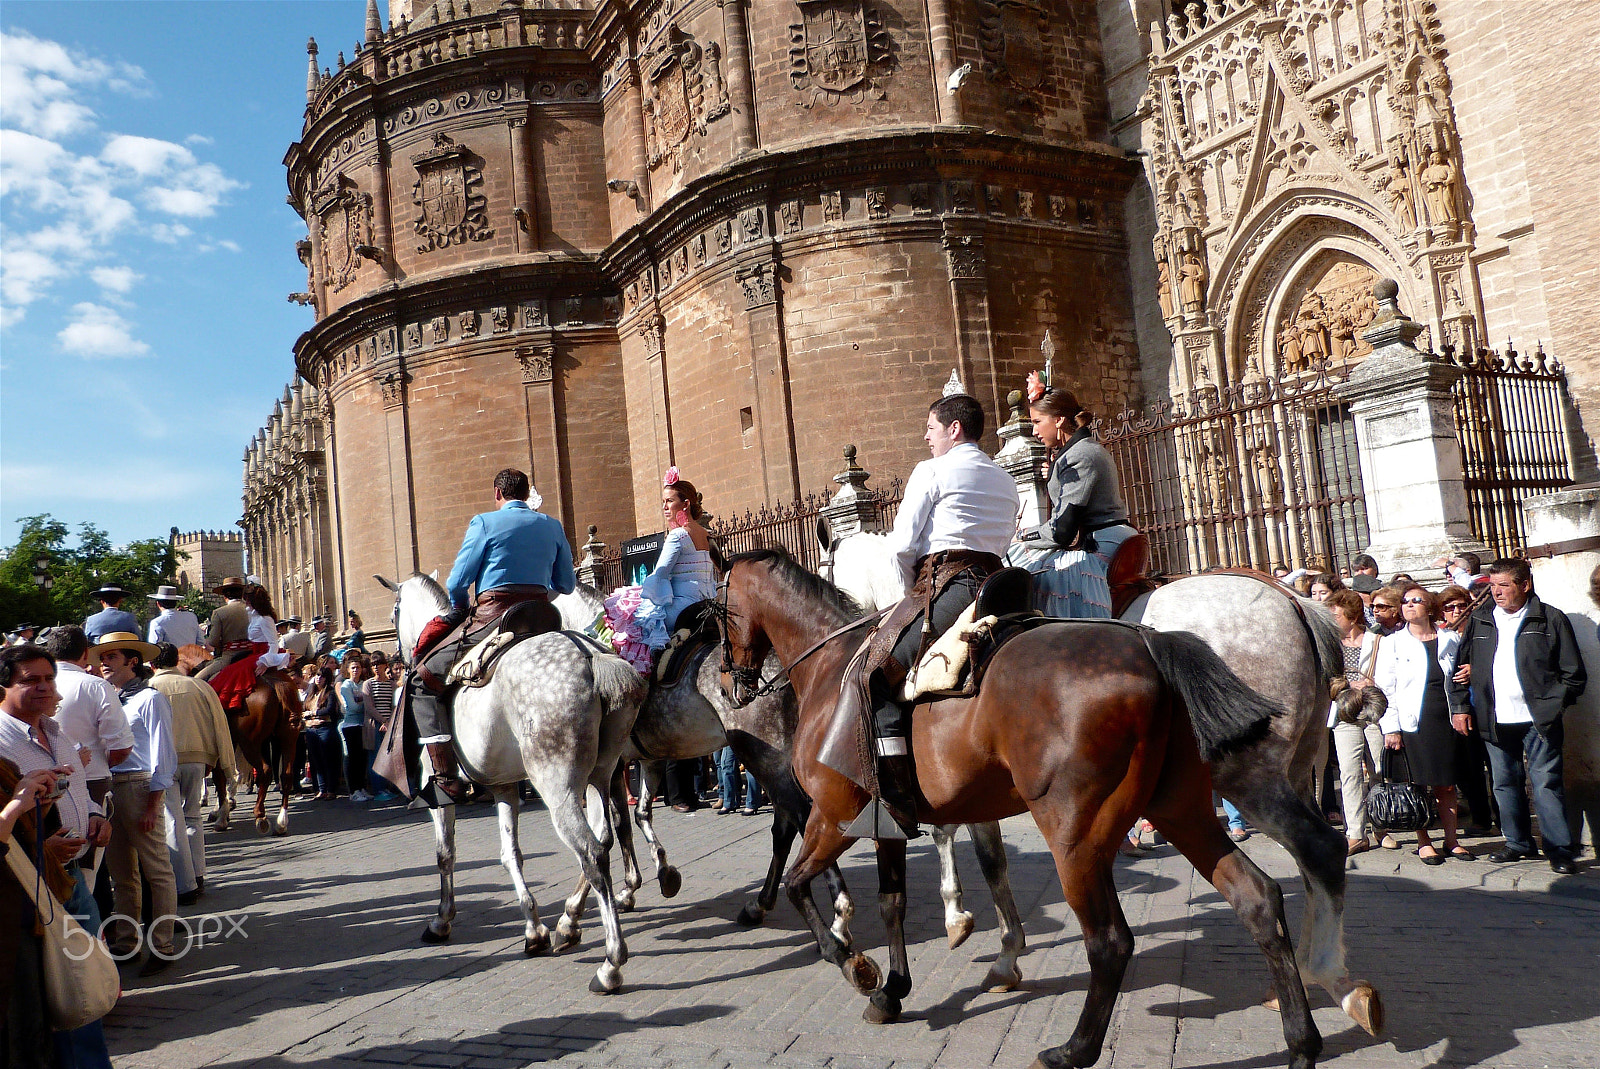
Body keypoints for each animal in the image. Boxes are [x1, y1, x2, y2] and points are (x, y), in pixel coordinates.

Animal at [179, 643, 302, 832]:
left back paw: (260, 815)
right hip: (288, 738)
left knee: (265, 771)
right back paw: (282, 821)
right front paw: (223, 809)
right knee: (286, 774)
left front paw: (221, 815)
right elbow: (227, 775)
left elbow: (220, 778)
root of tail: (275, 685)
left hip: (250, 744)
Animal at [377, 572, 646, 998]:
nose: (397, 659)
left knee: (591, 852)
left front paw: (441, 920)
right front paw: (534, 929)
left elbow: (445, 855)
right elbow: (510, 854)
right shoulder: (504, 787)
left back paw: (610, 964)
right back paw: (570, 924)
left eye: (394, 613)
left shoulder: (437, 796)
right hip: (600, 777)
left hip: (558, 787)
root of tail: (592, 657)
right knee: (606, 836)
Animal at [726, 550, 1324, 1069]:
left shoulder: (833, 816)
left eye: (719, 608)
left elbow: (801, 885)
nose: (736, 682)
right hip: (1182, 809)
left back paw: (1073, 1051)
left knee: (1111, 942)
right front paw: (892, 990)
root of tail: (1151, 645)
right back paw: (1301, 1041)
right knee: (1258, 897)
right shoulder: (883, 824)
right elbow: (892, 902)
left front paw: (857, 966)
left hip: (1077, 836)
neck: (829, 671)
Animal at [819, 524, 1382, 1036]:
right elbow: (986, 856)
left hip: (1248, 773)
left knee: (1318, 848)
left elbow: (961, 843)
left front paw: (965, 925)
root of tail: (1294, 602)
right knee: (1312, 860)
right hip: (1295, 766)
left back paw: (1324, 976)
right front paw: (999, 950)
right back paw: (1310, 980)